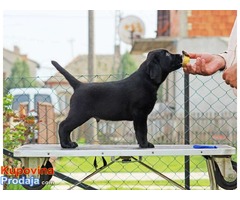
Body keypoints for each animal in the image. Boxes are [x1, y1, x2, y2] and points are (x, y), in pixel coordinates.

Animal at [51, 49, 182, 148]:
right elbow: (142, 131)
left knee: (66, 128)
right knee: (63, 125)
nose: (181, 55)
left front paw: (142, 144)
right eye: (167, 54)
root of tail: (79, 85)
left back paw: (68, 143)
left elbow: (139, 131)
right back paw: (66, 145)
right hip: (79, 114)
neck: (146, 80)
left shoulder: (139, 115)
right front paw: (145, 145)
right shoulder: (140, 113)